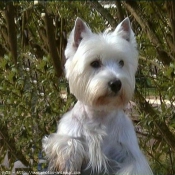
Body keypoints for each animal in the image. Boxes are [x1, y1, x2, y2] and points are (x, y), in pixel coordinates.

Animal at [42, 16, 153, 175]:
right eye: (94, 63)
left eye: (121, 62)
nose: (116, 84)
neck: (99, 115)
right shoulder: (66, 137)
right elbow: (69, 144)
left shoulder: (130, 154)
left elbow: (131, 167)